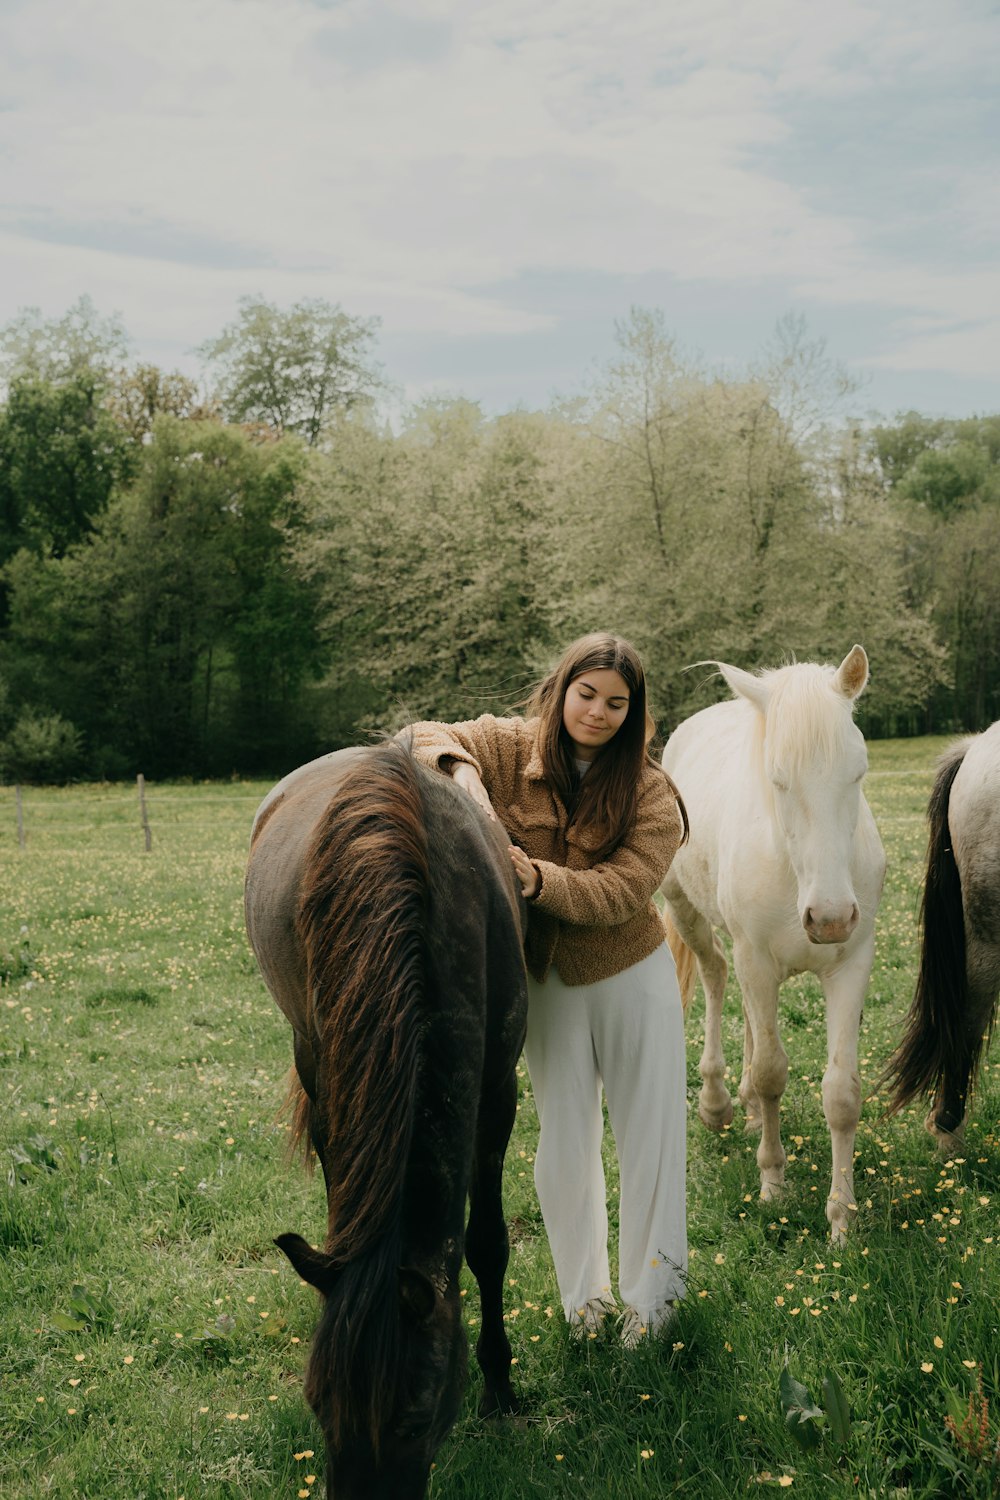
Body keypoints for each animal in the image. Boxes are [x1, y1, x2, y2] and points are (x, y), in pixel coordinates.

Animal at [242, 741, 527, 1500]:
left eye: (415, 1418)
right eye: (316, 1403)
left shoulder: (497, 1094)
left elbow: (488, 1244)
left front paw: (500, 1388)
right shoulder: (330, 1078)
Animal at [665, 645, 881, 1242]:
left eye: (858, 772)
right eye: (778, 779)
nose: (830, 918)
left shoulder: (851, 965)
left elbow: (841, 1093)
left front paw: (841, 1219)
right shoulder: (756, 960)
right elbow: (770, 1073)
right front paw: (772, 1183)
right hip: (687, 910)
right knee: (716, 976)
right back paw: (717, 1101)